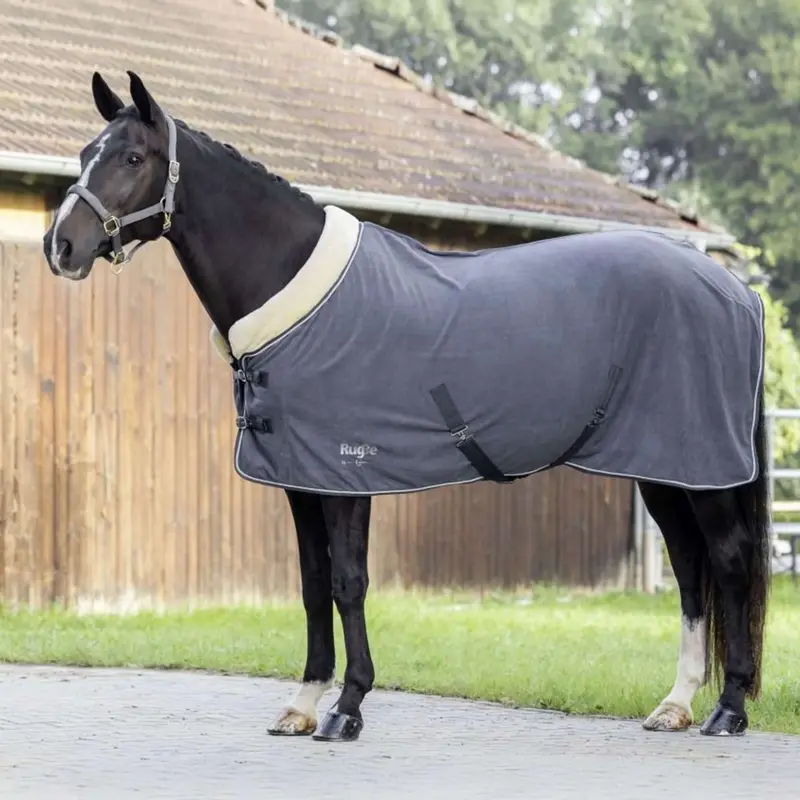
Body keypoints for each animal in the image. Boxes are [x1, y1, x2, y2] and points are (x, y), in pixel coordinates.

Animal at [42, 70, 771, 743]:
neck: (294, 291)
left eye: (132, 158)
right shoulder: (301, 481)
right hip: (664, 468)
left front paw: (347, 708)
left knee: (729, 561)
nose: (61, 247)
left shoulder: (344, 475)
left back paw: (728, 709)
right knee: (689, 568)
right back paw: (676, 704)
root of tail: (735, 289)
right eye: (83, 152)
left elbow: (348, 582)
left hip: (701, 469)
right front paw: (303, 706)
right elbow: (312, 584)